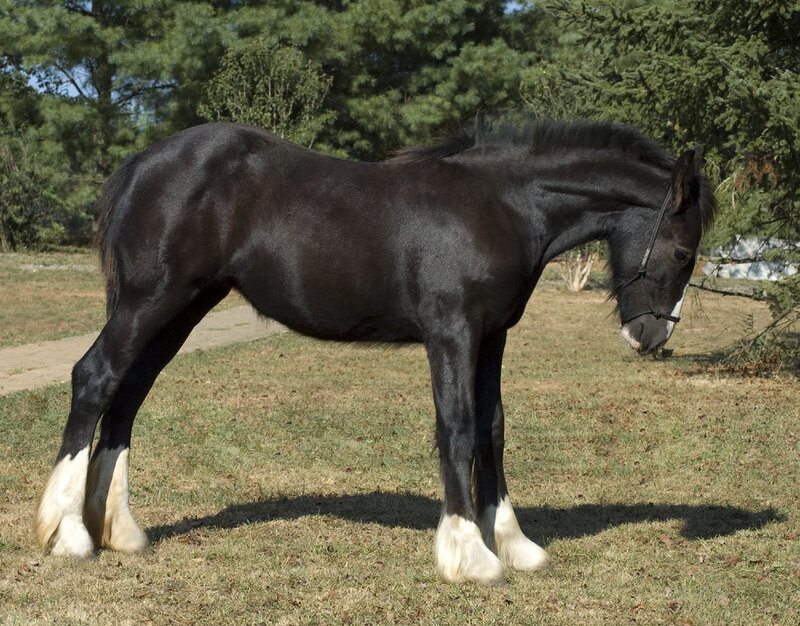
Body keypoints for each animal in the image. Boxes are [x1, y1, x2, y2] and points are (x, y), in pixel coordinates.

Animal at [35, 119, 716, 585]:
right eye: (683, 252)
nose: (651, 338)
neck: (501, 206)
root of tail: (142, 164)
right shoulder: (451, 333)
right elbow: (457, 428)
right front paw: (469, 554)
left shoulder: (491, 336)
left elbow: (493, 428)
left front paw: (514, 544)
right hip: (151, 300)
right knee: (94, 378)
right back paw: (68, 534)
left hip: (183, 308)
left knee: (126, 396)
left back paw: (119, 531)